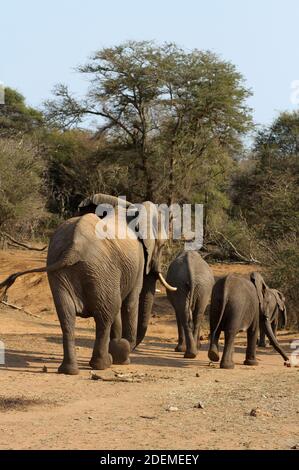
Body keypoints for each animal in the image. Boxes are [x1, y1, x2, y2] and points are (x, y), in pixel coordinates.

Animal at [0, 195, 177, 374]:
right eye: (163, 245)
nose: (128, 350)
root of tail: (74, 248)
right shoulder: (137, 261)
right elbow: (129, 303)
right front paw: (122, 356)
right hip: (102, 269)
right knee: (105, 315)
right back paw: (103, 364)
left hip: (63, 269)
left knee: (67, 316)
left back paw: (69, 370)